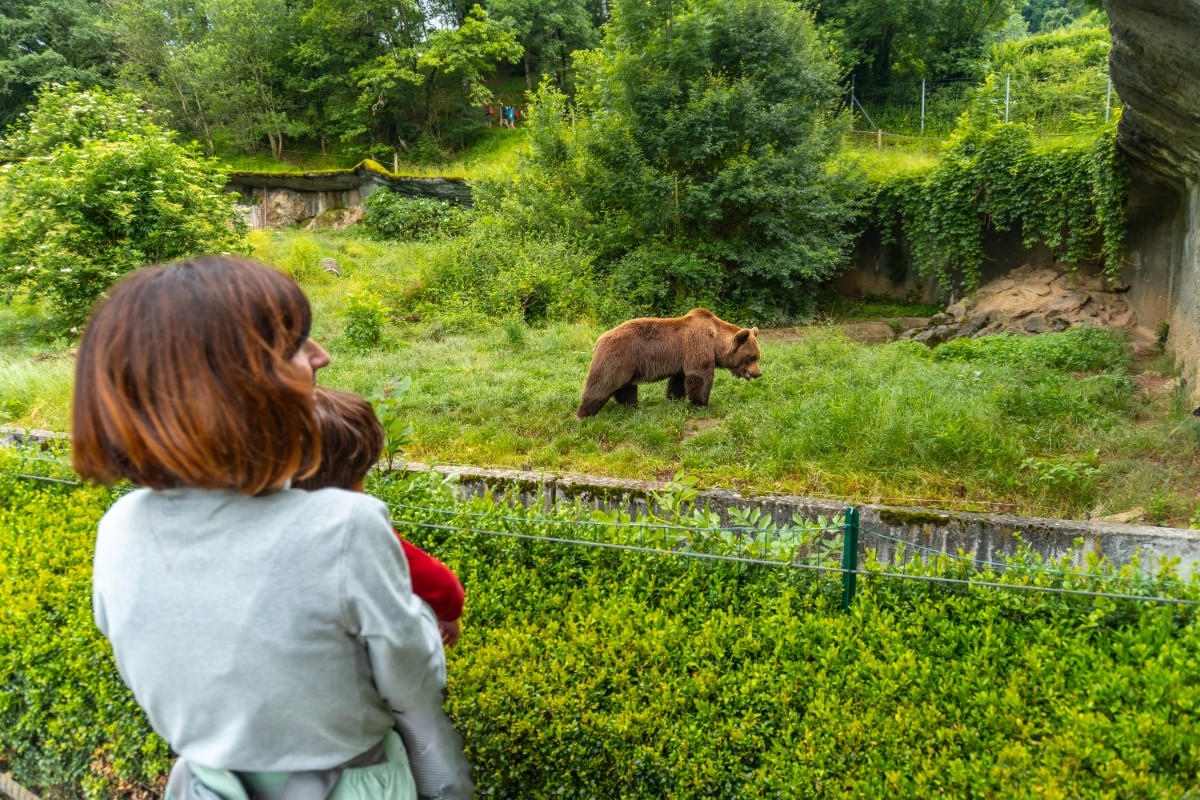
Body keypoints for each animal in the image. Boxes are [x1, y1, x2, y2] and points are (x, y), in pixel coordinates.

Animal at [571, 309, 758, 419]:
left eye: (757, 356)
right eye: (752, 357)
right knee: (602, 384)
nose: (758, 373)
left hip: (628, 366)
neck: (715, 341)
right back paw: (583, 414)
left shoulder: (682, 358)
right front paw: (701, 403)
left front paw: (674, 399)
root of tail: (599, 339)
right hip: (618, 358)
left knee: (626, 387)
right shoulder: (698, 344)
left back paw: (632, 407)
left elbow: (679, 380)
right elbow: (700, 376)